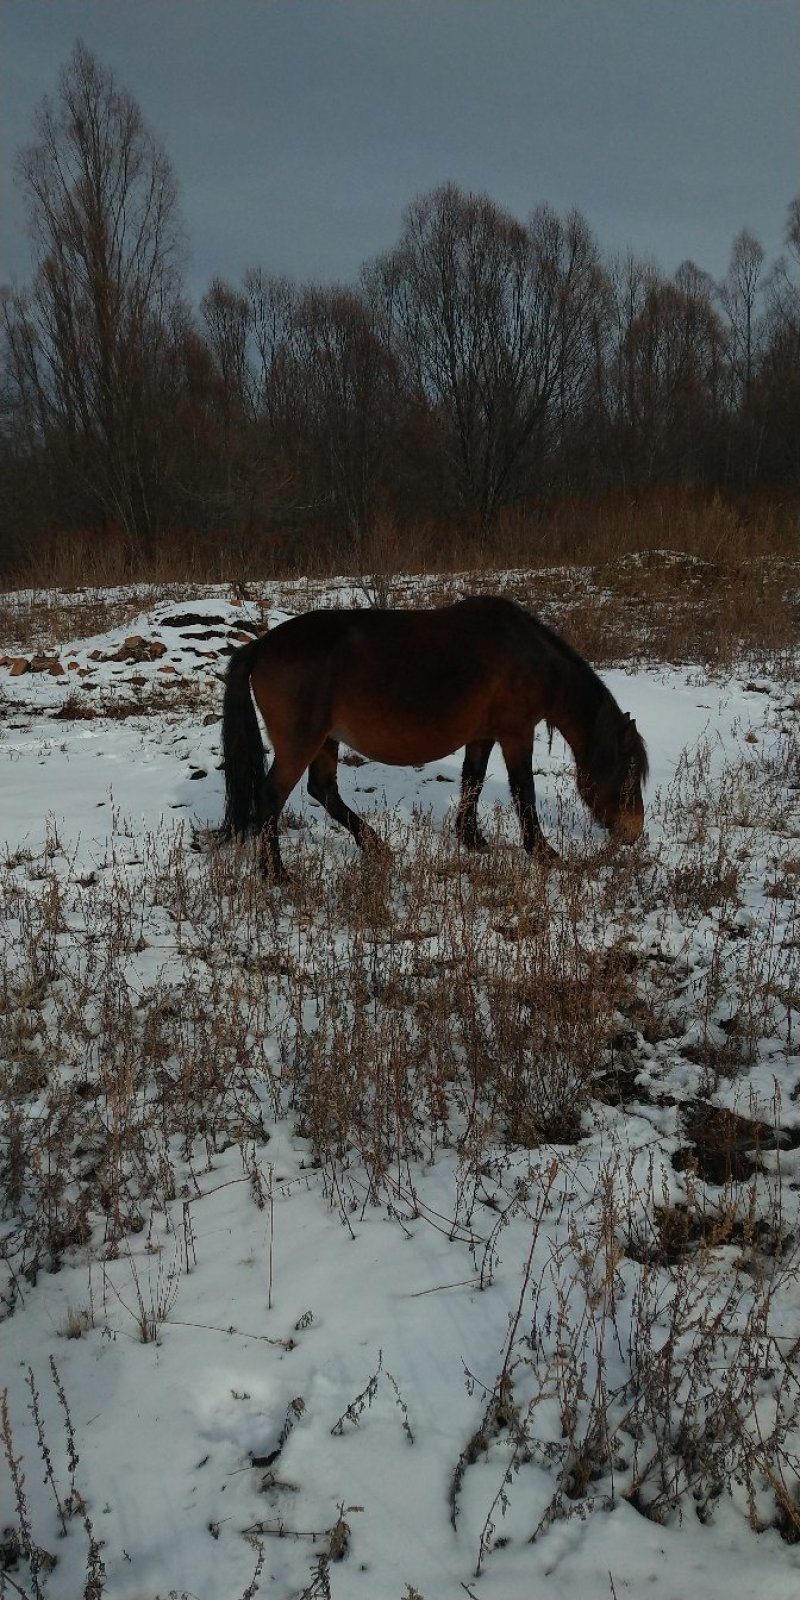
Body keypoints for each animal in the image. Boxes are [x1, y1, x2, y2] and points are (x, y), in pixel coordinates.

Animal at [220, 595, 648, 879]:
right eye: (628, 774)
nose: (634, 832)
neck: (527, 656)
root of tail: (261, 646)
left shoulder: (482, 735)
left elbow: (473, 780)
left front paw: (472, 840)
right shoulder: (516, 732)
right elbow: (522, 790)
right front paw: (543, 852)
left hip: (326, 739)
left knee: (323, 790)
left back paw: (376, 847)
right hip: (301, 743)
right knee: (270, 797)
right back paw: (276, 874)